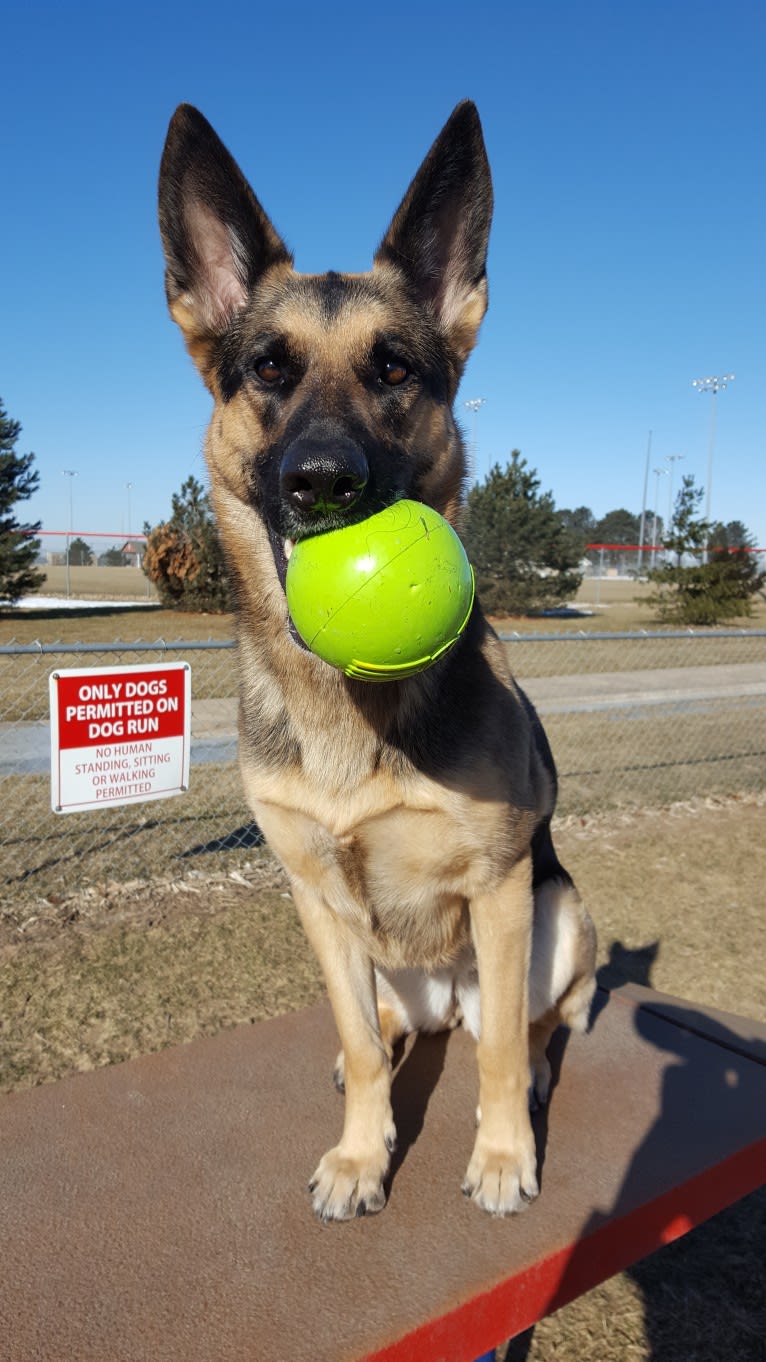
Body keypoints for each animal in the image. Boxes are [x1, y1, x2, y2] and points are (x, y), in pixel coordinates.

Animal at [158, 100, 594, 1220]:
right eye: (269, 368)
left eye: (393, 368)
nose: (321, 483)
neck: (350, 713)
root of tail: (440, 1001)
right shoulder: (315, 898)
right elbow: (358, 1049)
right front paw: (362, 1155)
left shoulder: (501, 888)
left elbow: (496, 1060)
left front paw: (501, 1156)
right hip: (374, 951)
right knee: (391, 1026)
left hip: (558, 913)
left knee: (523, 1028)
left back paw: (525, 1081)